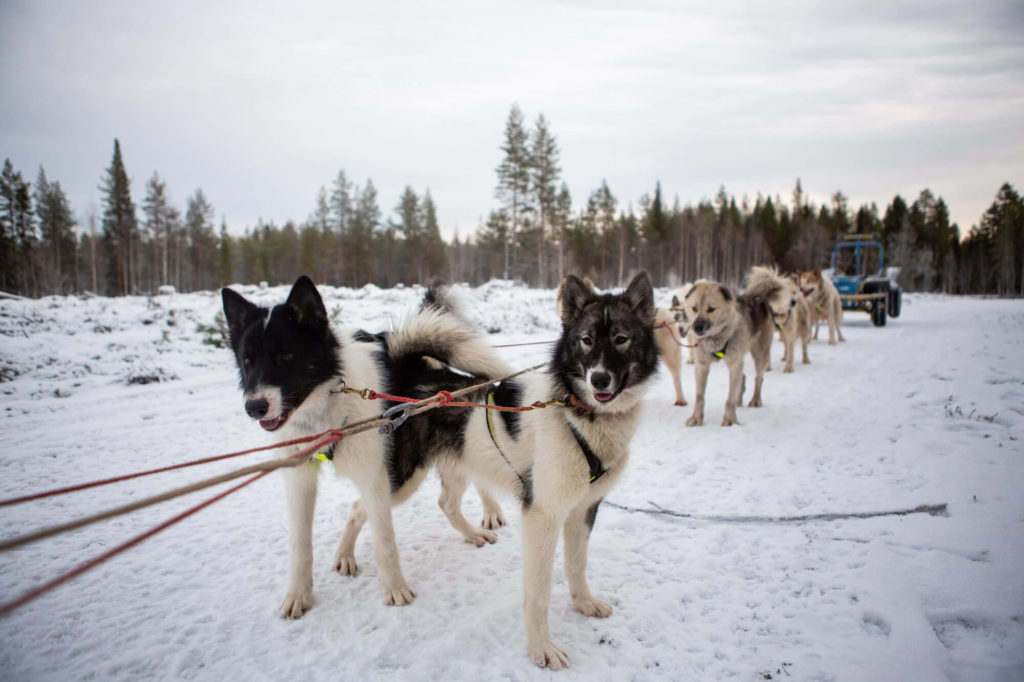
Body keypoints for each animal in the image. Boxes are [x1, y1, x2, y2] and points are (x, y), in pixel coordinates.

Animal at [223, 274, 512, 614]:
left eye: (286, 356)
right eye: (247, 361)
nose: (254, 407)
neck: (330, 410)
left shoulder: (375, 477)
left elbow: (384, 540)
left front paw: (394, 588)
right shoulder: (300, 479)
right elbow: (300, 544)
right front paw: (298, 594)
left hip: (405, 473)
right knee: (428, 503)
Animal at [684, 266, 786, 425]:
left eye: (711, 309)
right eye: (694, 308)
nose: (697, 327)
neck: (718, 337)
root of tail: (759, 298)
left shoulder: (734, 363)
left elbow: (729, 398)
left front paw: (730, 419)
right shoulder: (702, 365)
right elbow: (699, 396)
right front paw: (696, 418)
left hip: (758, 353)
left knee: (759, 378)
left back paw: (755, 400)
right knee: (742, 378)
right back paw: (740, 399)